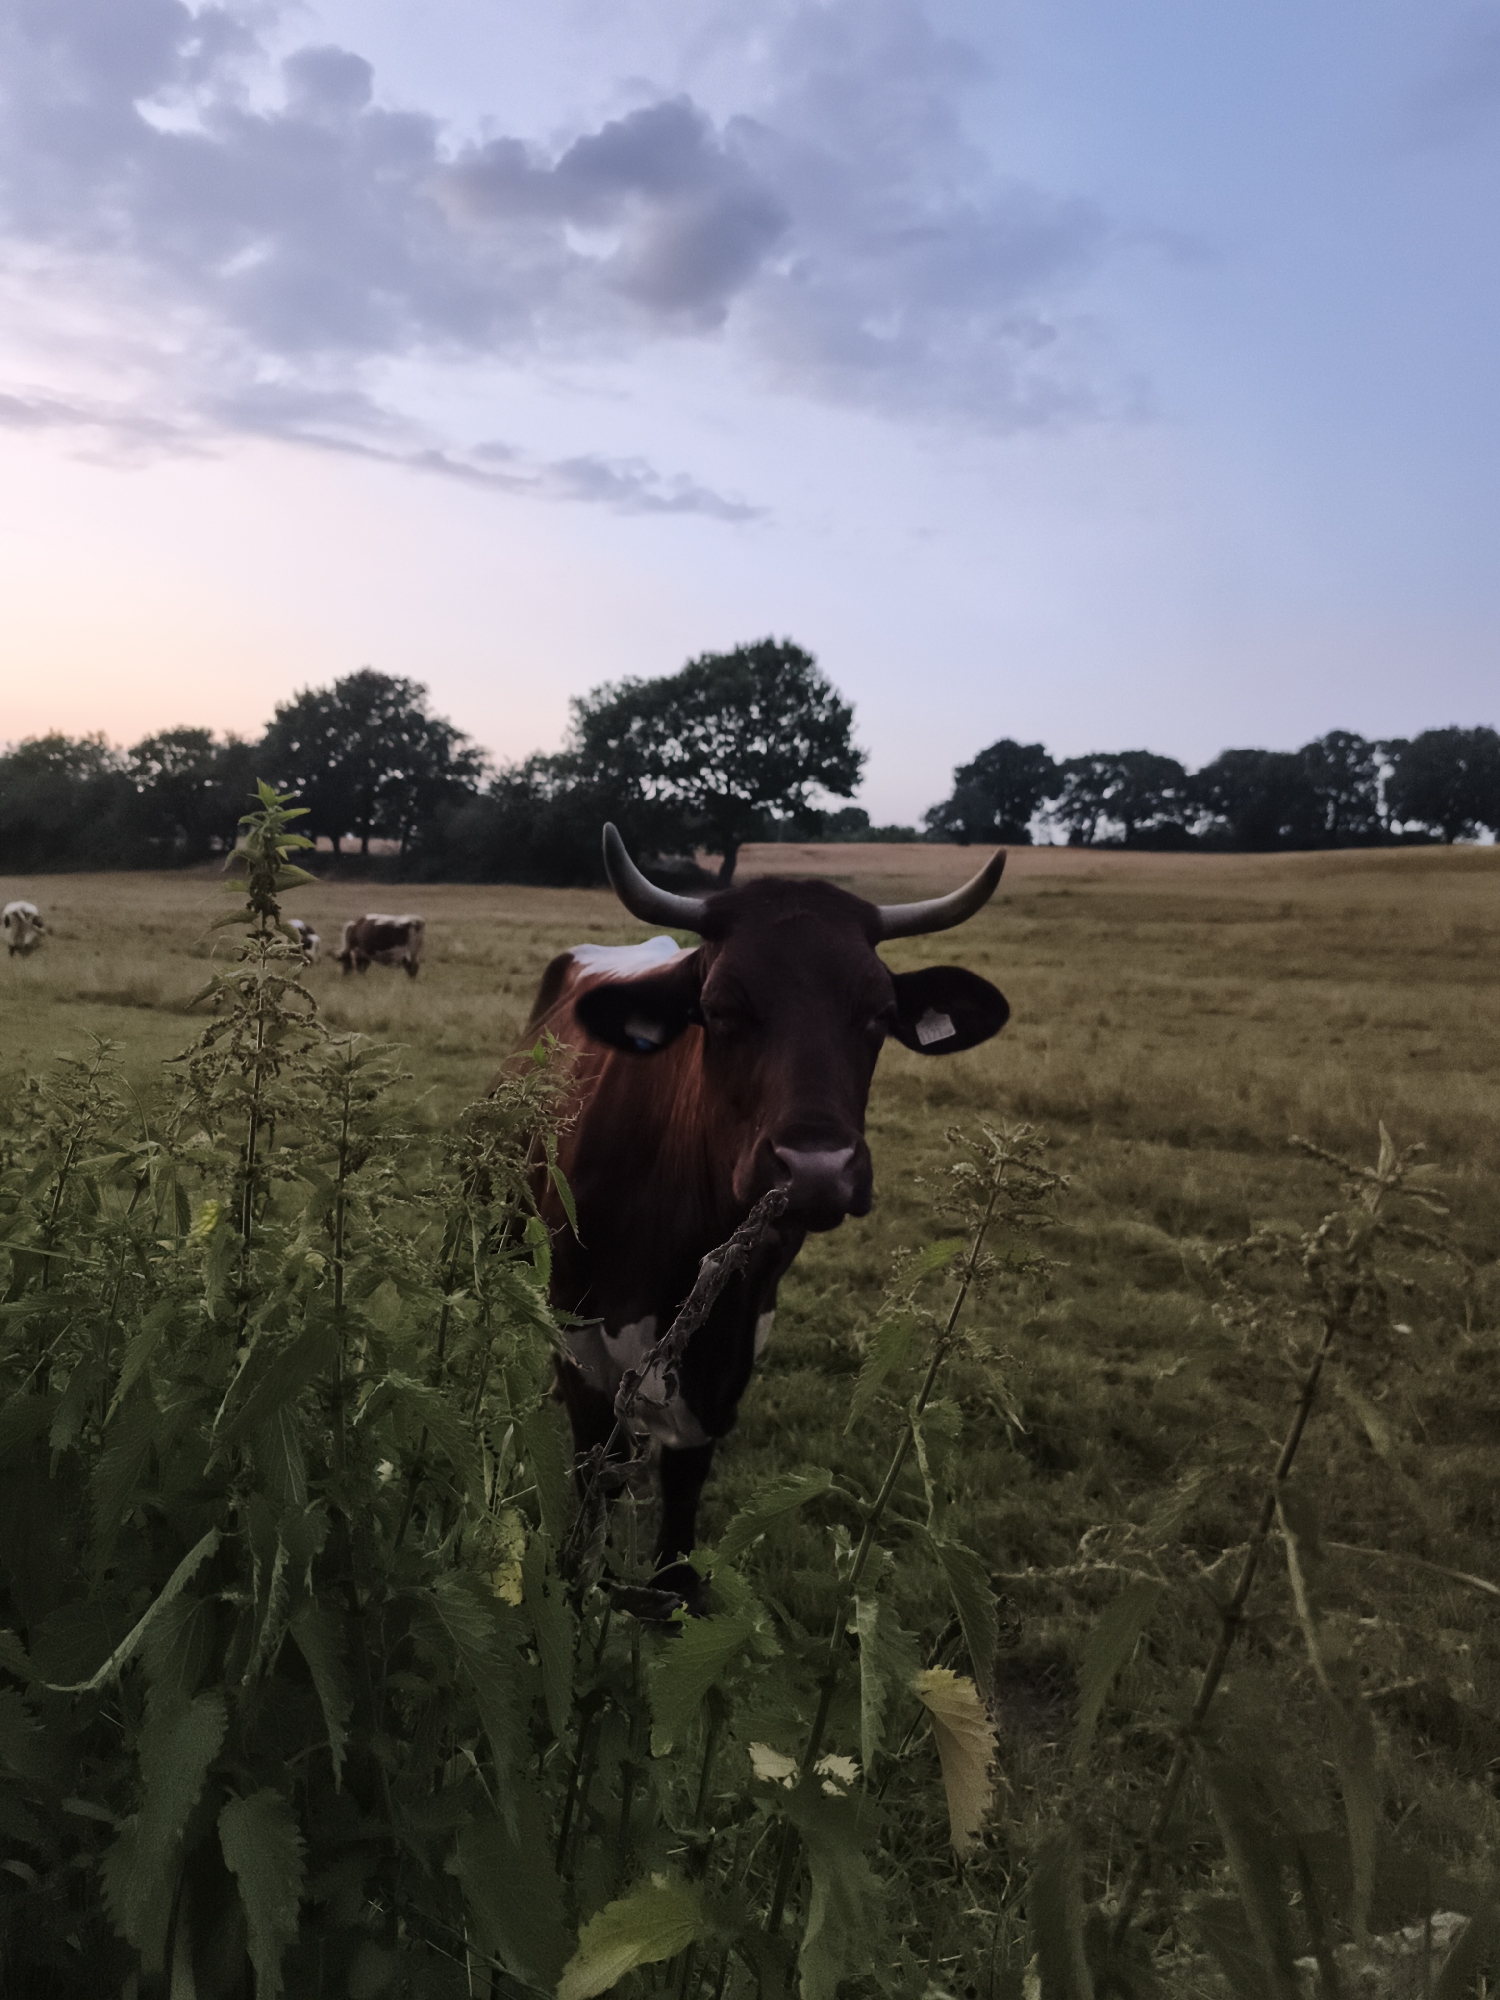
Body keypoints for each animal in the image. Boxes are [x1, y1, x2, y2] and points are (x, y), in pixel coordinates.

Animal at [528, 824, 1009, 1594]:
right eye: (721, 1009)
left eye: (879, 1013)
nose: (816, 1170)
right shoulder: (581, 1349)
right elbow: (592, 1476)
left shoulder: (733, 1348)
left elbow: (684, 1486)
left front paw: (671, 1588)